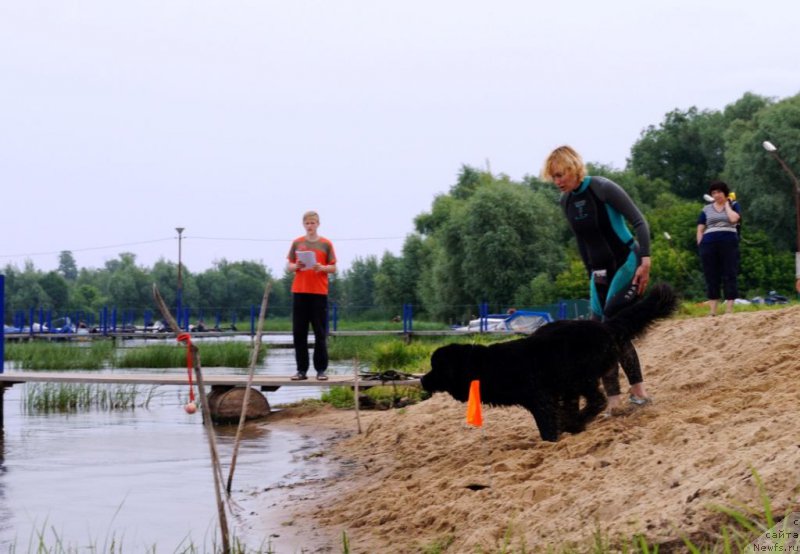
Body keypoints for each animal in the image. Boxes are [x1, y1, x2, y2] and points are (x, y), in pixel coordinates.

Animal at [422, 282, 680, 442]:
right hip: (572, 382)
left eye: (436, 367)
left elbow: (546, 426)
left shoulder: (540, 399)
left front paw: (553, 438)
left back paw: (576, 422)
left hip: (579, 376)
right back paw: (575, 424)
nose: (422, 380)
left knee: (596, 400)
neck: (485, 366)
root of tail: (604, 326)